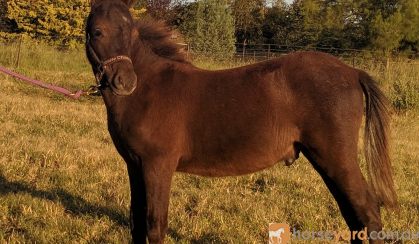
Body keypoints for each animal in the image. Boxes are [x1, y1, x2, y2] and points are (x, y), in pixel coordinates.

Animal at [84, 0, 398, 243]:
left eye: (132, 32)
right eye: (97, 32)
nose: (126, 82)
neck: (148, 90)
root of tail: (353, 72)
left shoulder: (158, 165)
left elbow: (155, 225)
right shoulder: (134, 165)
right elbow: (136, 222)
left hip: (335, 158)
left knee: (367, 214)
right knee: (354, 216)